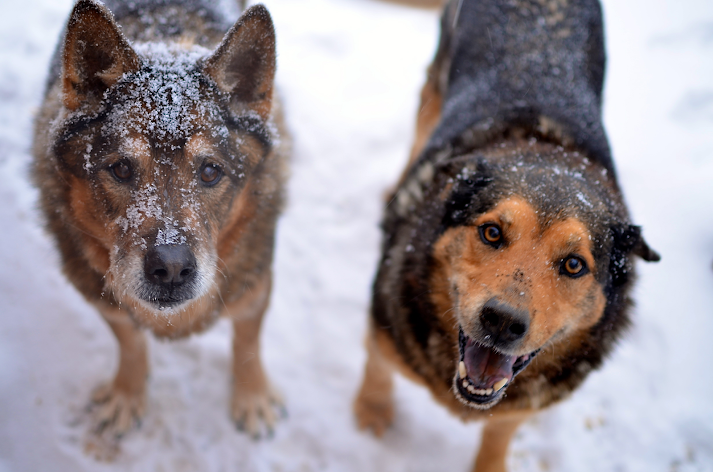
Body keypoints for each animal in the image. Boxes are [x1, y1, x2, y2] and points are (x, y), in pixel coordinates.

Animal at [32, 0, 290, 452]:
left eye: (210, 171)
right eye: (120, 168)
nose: (170, 269)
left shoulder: (255, 281)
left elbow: (247, 343)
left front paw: (252, 398)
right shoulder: (102, 295)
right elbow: (131, 344)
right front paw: (127, 395)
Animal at [354, 0, 660, 472]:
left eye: (574, 264)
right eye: (492, 232)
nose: (501, 321)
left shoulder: (521, 406)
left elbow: (500, 432)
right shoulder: (384, 325)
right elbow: (377, 366)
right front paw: (371, 413)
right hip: (437, 78)